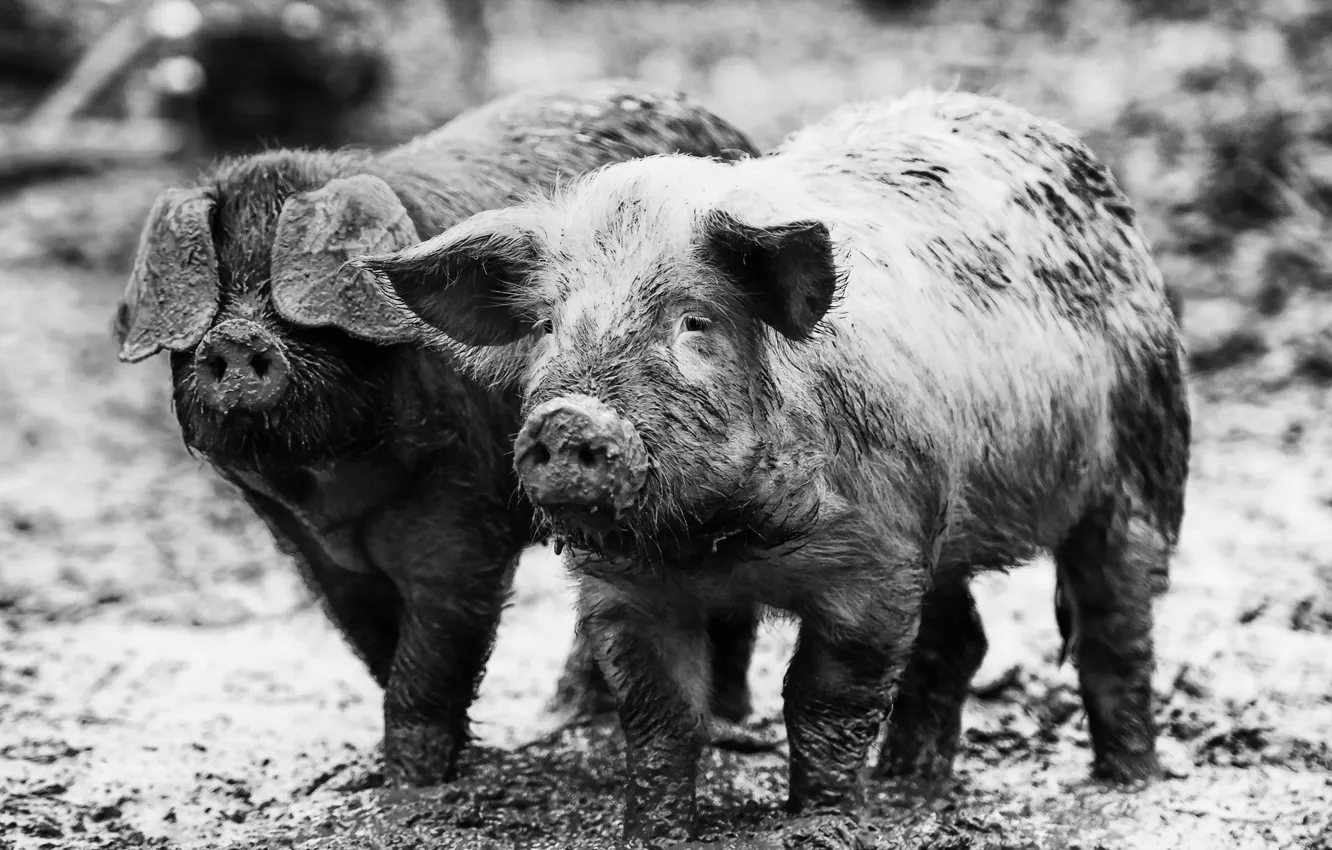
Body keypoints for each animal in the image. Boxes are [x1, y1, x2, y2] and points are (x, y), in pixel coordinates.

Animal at [111, 79, 768, 787]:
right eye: (221, 283)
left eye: (290, 290)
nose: (235, 337)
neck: (329, 487)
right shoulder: (303, 544)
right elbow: (373, 642)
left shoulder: (464, 503)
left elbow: (438, 643)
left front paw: (413, 782)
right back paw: (564, 715)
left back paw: (725, 722)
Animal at [363, 88, 1192, 844]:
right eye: (544, 325)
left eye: (694, 322)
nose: (569, 420)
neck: (720, 543)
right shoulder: (623, 591)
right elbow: (659, 714)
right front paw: (654, 832)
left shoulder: (876, 564)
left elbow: (825, 699)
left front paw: (819, 824)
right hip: (946, 523)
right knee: (961, 638)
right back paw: (909, 782)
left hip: (1146, 454)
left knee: (1117, 625)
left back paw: (1128, 781)